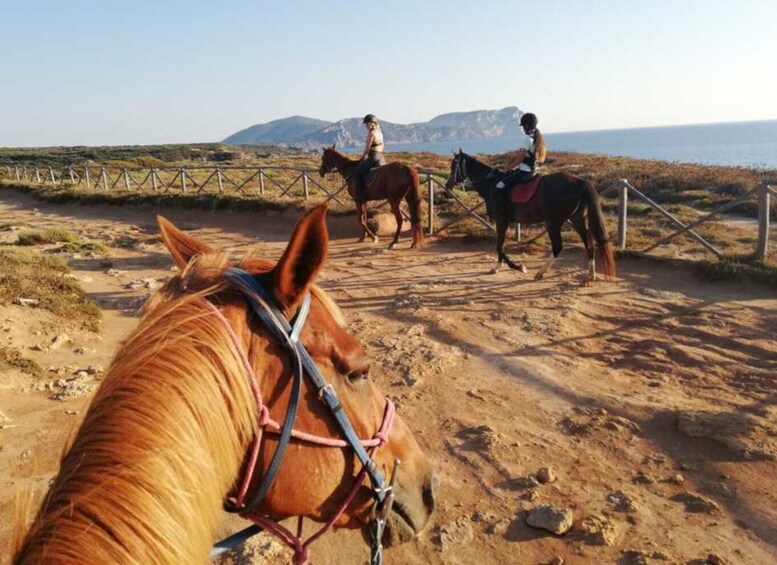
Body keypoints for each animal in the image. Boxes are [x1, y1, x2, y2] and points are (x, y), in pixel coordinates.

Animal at [446, 150, 616, 284]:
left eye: (454, 165)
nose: (448, 185)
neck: (492, 184)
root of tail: (579, 182)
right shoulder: (502, 222)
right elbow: (499, 245)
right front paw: (498, 267)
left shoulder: (502, 220)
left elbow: (499, 246)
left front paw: (518, 267)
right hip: (577, 219)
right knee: (589, 243)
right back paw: (590, 276)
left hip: (554, 222)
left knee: (558, 246)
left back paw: (541, 272)